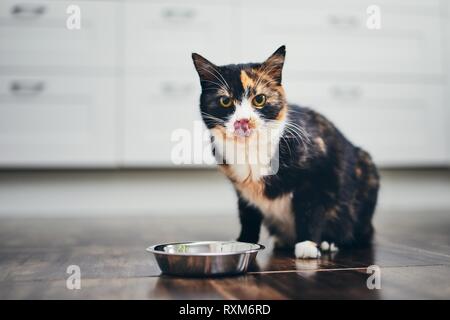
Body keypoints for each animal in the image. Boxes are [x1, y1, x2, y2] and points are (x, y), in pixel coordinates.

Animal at [192, 46, 378, 258]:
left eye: (259, 99)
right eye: (225, 101)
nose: (243, 121)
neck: (250, 149)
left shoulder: (319, 173)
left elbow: (310, 208)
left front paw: (307, 245)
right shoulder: (243, 190)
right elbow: (247, 214)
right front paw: (244, 241)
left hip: (366, 171)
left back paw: (329, 242)